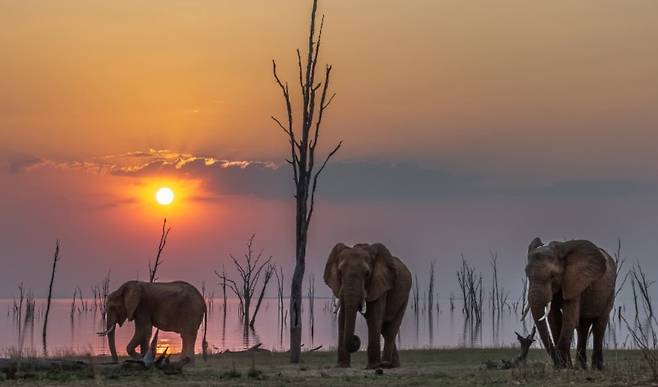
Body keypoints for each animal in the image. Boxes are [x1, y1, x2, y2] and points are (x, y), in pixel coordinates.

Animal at [320, 242, 408, 370]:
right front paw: (342, 366)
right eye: (340, 272)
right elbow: (343, 316)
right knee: (384, 329)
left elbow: (374, 316)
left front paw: (373, 367)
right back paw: (394, 365)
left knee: (391, 329)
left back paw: (386, 365)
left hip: (404, 298)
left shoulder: (380, 285)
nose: (356, 337)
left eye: (367, 274)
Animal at [524, 238, 616, 372]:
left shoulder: (575, 281)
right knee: (582, 326)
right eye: (527, 274)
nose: (557, 362)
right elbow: (555, 318)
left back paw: (597, 368)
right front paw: (563, 366)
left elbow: (569, 317)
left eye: (552, 276)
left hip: (610, 291)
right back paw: (581, 367)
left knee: (599, 326)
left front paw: (565, 366)